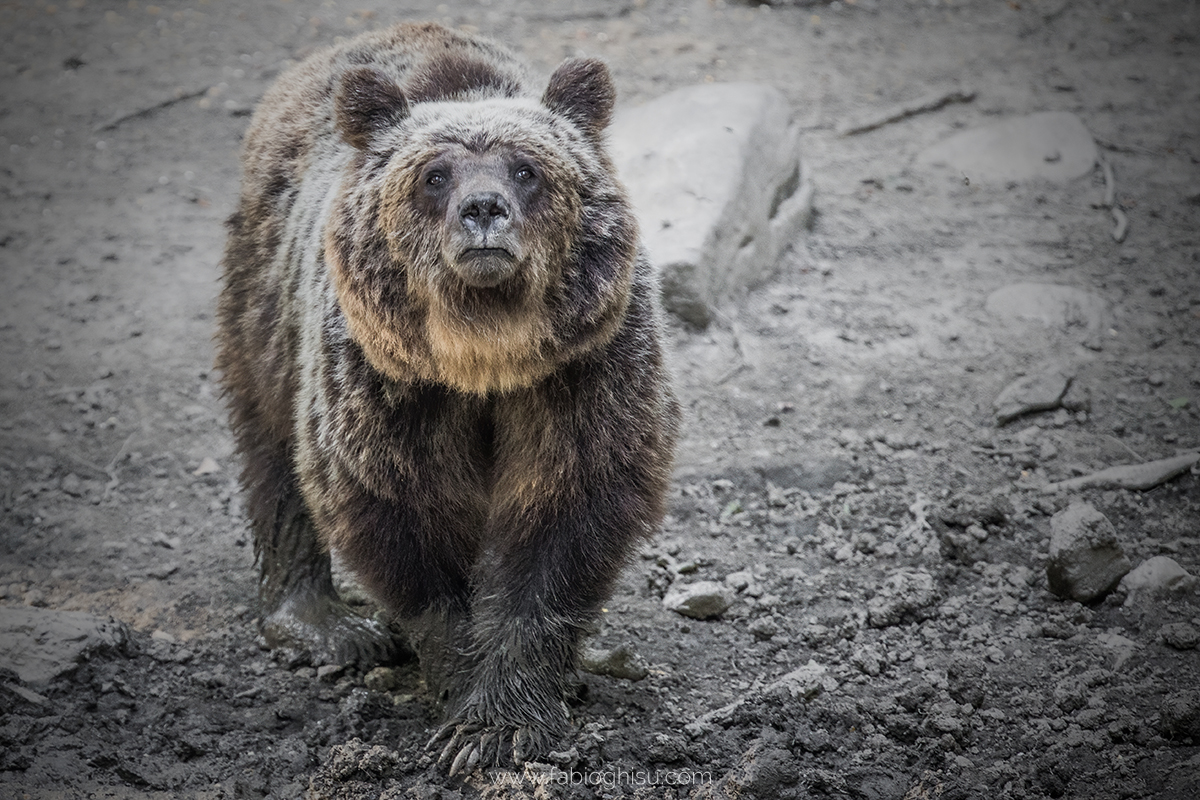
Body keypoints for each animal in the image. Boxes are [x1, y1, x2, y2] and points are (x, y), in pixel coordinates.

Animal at [216, 21, 681, 772]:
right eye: (435, 175)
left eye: (526, 169)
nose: (483, 210)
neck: (483, 357)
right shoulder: (388, 384)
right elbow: (402, 513)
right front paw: (463, 694)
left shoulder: (584, 372)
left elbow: (565, 516)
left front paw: (505, 718)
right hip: (267, 301)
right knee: (273, 448)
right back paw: (325, 624)